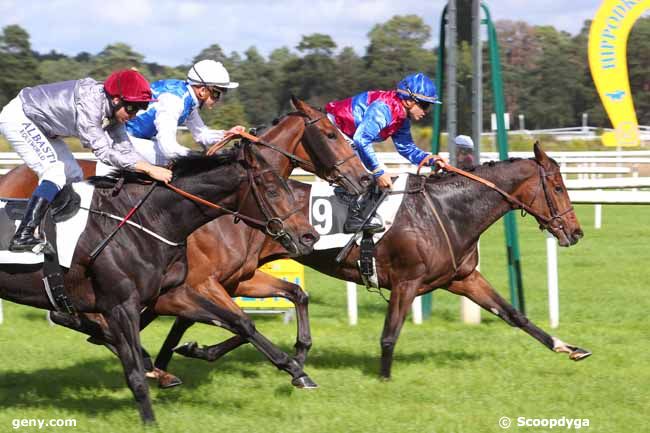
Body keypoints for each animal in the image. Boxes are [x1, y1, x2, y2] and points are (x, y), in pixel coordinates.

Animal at [0, 142, 316, 422]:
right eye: (272, 190)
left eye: (288, 187)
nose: (308, 236)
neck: (147, 221)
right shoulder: (122, 305)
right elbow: (134, 373)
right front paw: (150, 419)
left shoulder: (172, 294)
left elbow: (241, 322)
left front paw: (296, 370)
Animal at [161, 142, 588, 378]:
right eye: (557, 186)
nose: (576, 232)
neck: (448, 211)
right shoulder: (406, 282)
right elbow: (389, 335)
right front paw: (384, 380)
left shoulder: (463, 278)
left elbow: (514, 314)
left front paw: (568, 348)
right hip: (224, 272)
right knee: (208, 312)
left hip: (241, 274)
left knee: (216, 315)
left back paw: (188, 355)